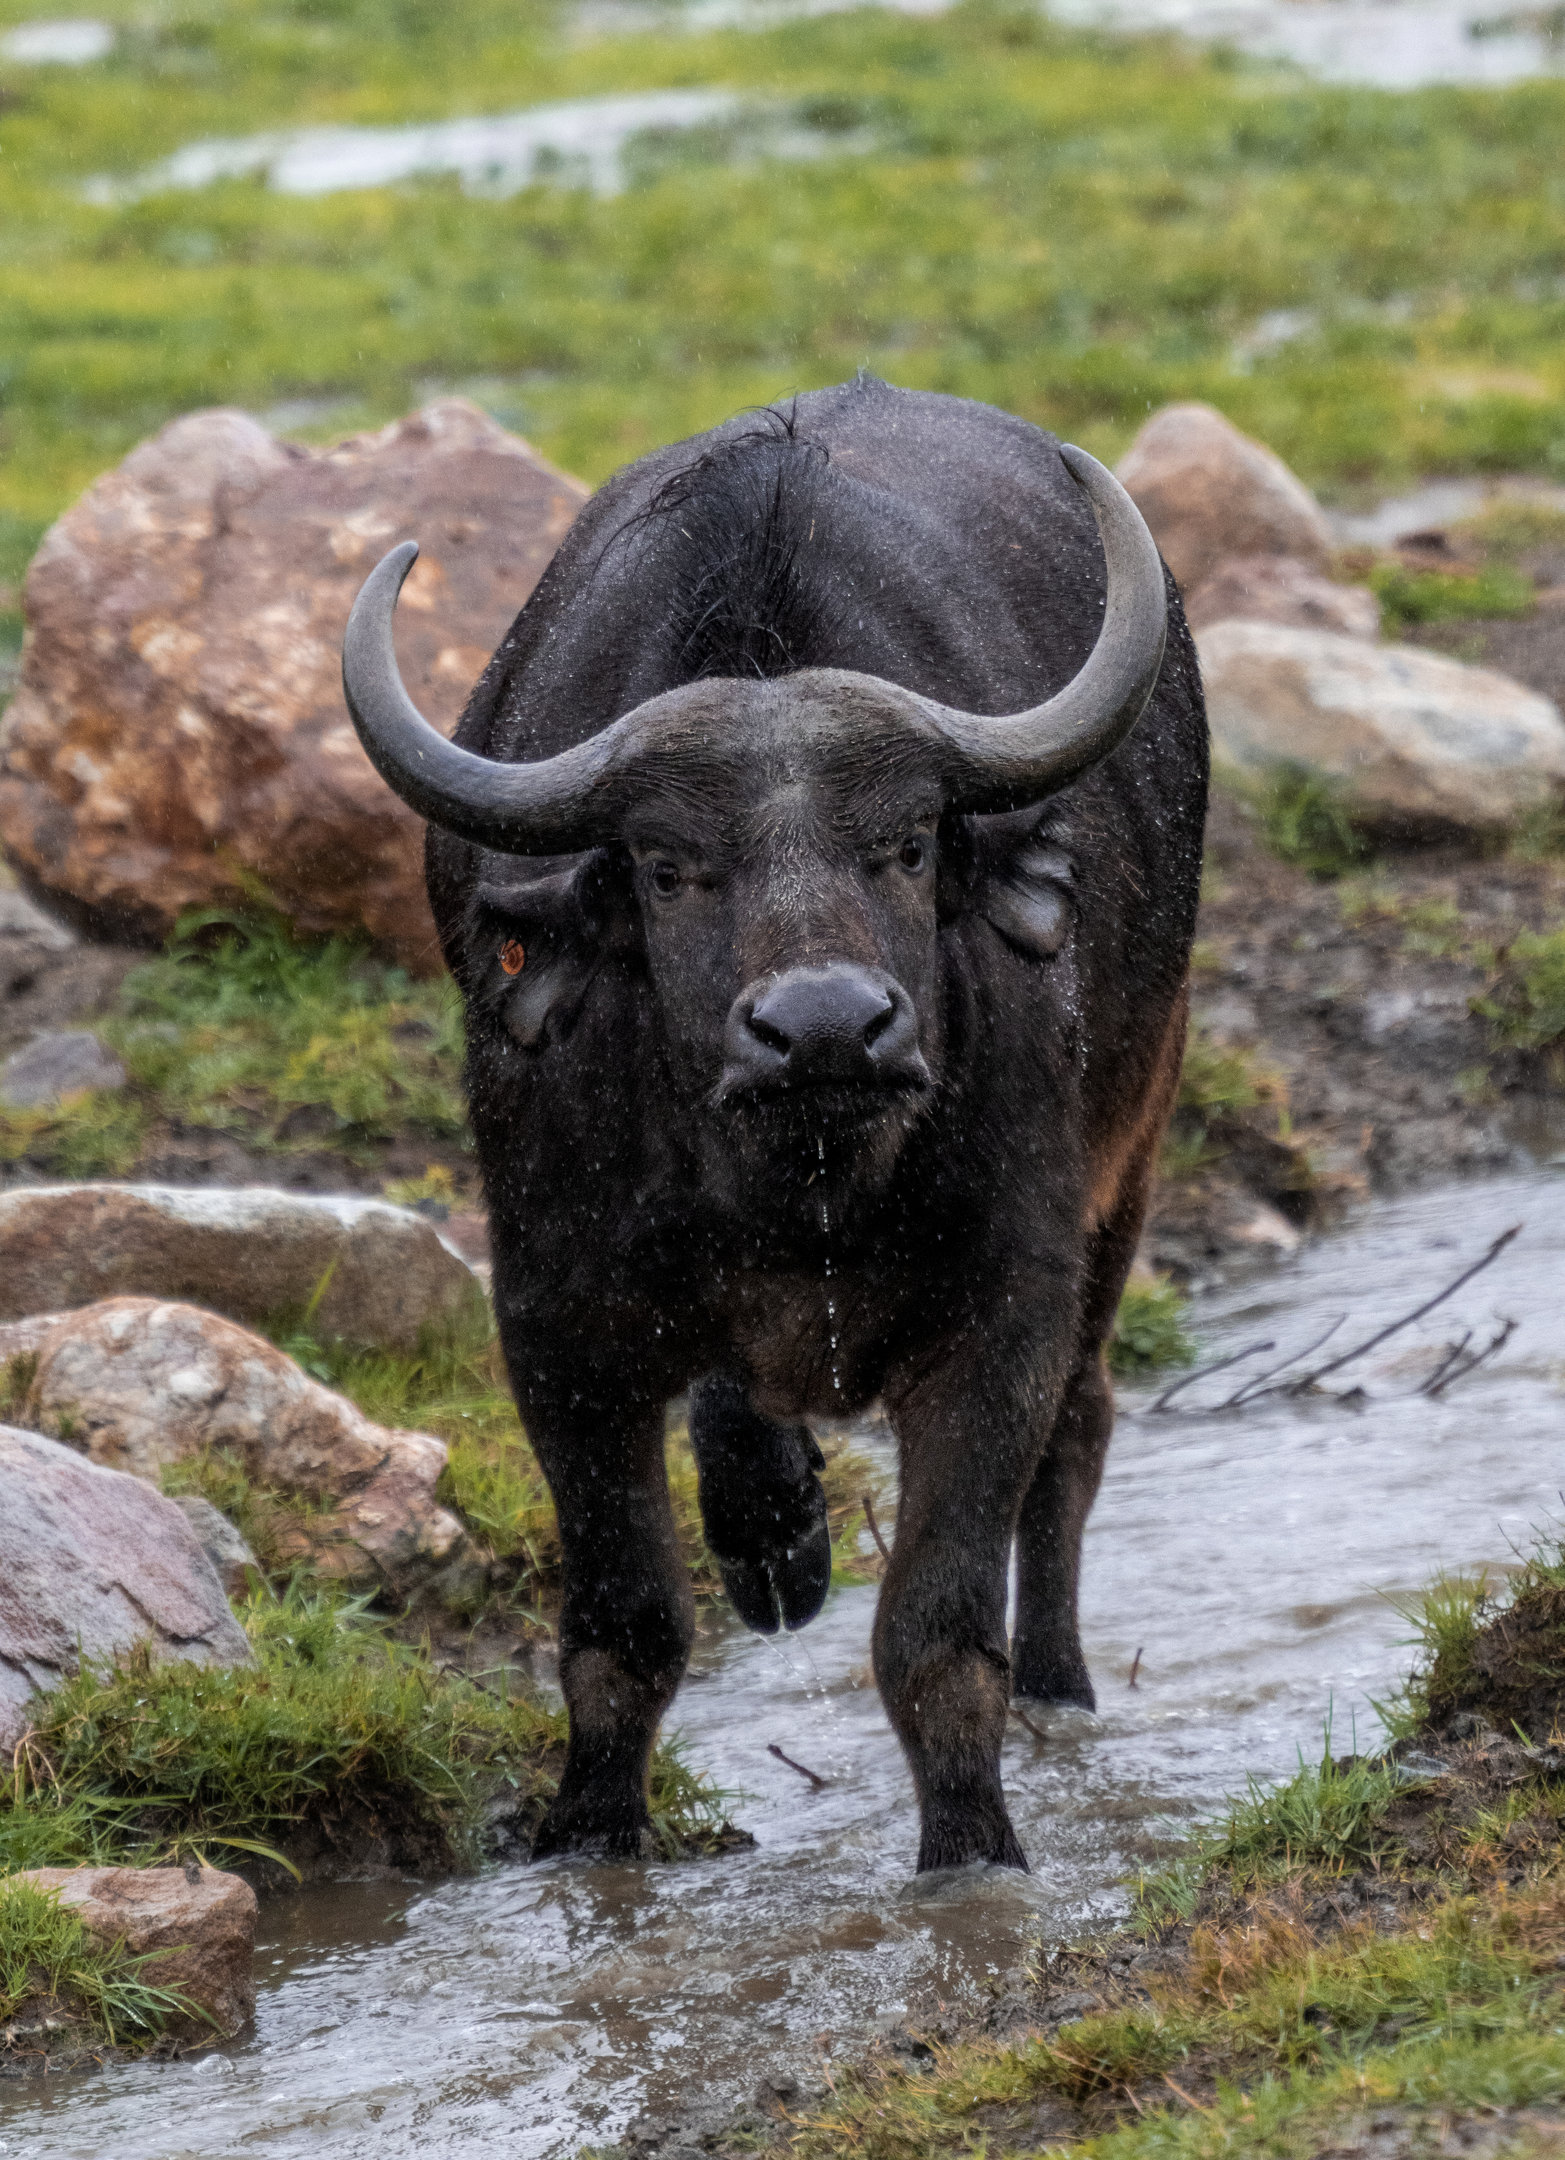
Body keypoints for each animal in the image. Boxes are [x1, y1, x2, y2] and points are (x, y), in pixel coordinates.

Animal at [342, 377, 1208, 1874]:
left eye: (907, 844)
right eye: (669, 866)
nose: (823, 1028)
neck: (805, 1183)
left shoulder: (1004, 1305)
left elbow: (935, 1633)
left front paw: (972, 1852)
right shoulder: (555, 1320)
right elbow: (624, 1624)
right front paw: (589, 1832)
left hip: (1133, 1158)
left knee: (1080, 1430)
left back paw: (1059, 1684)